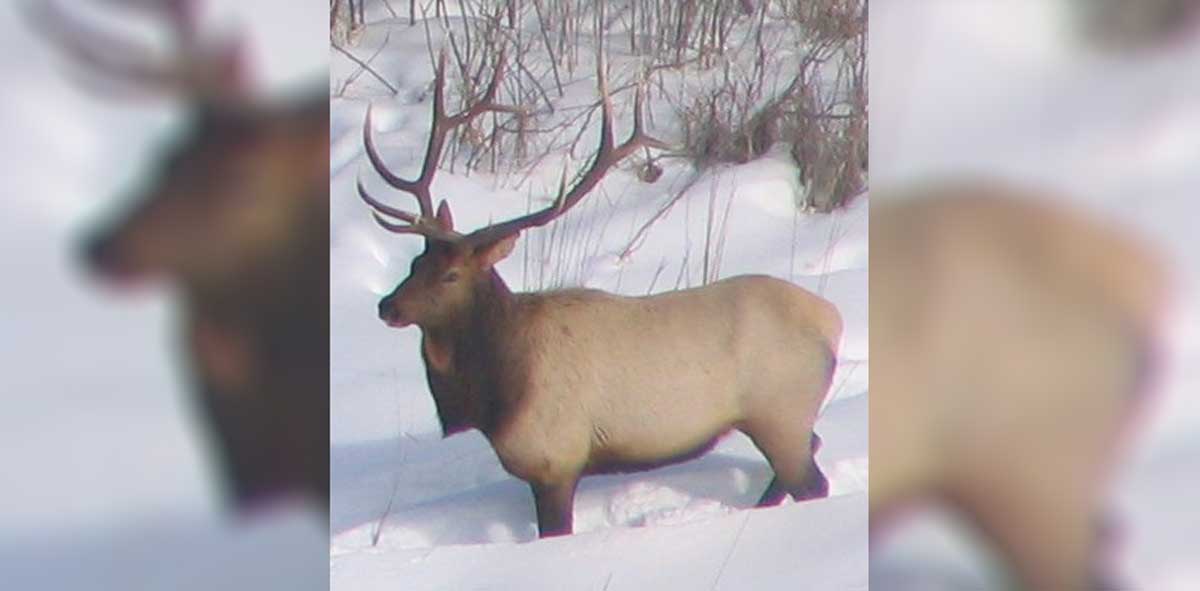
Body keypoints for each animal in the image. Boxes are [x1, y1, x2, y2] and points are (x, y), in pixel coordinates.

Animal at [358, 48, 843, 538]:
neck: (495, 394)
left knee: (811, 482)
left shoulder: (555, 459)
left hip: (779, 412)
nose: (387, 306)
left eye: (451, 274)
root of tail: (831, 320)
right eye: (415, 264)